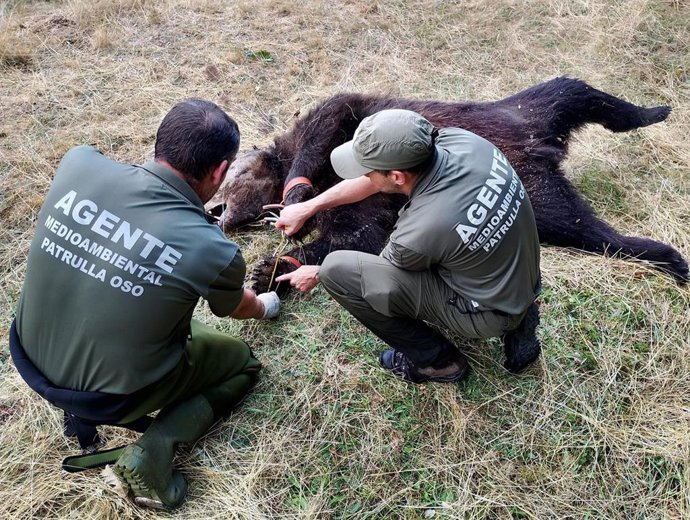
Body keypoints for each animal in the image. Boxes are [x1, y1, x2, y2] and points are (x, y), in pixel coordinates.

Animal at [205, 77, 688, 294]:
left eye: (231, 173)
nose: (214, 210)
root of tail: (541, 147)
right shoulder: (360, 208)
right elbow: (357, 236)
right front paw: (271, 269)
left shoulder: (344, 121)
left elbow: (332, 114)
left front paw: (295, 201)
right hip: (536, 172)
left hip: (519, 118)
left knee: (578, 93)